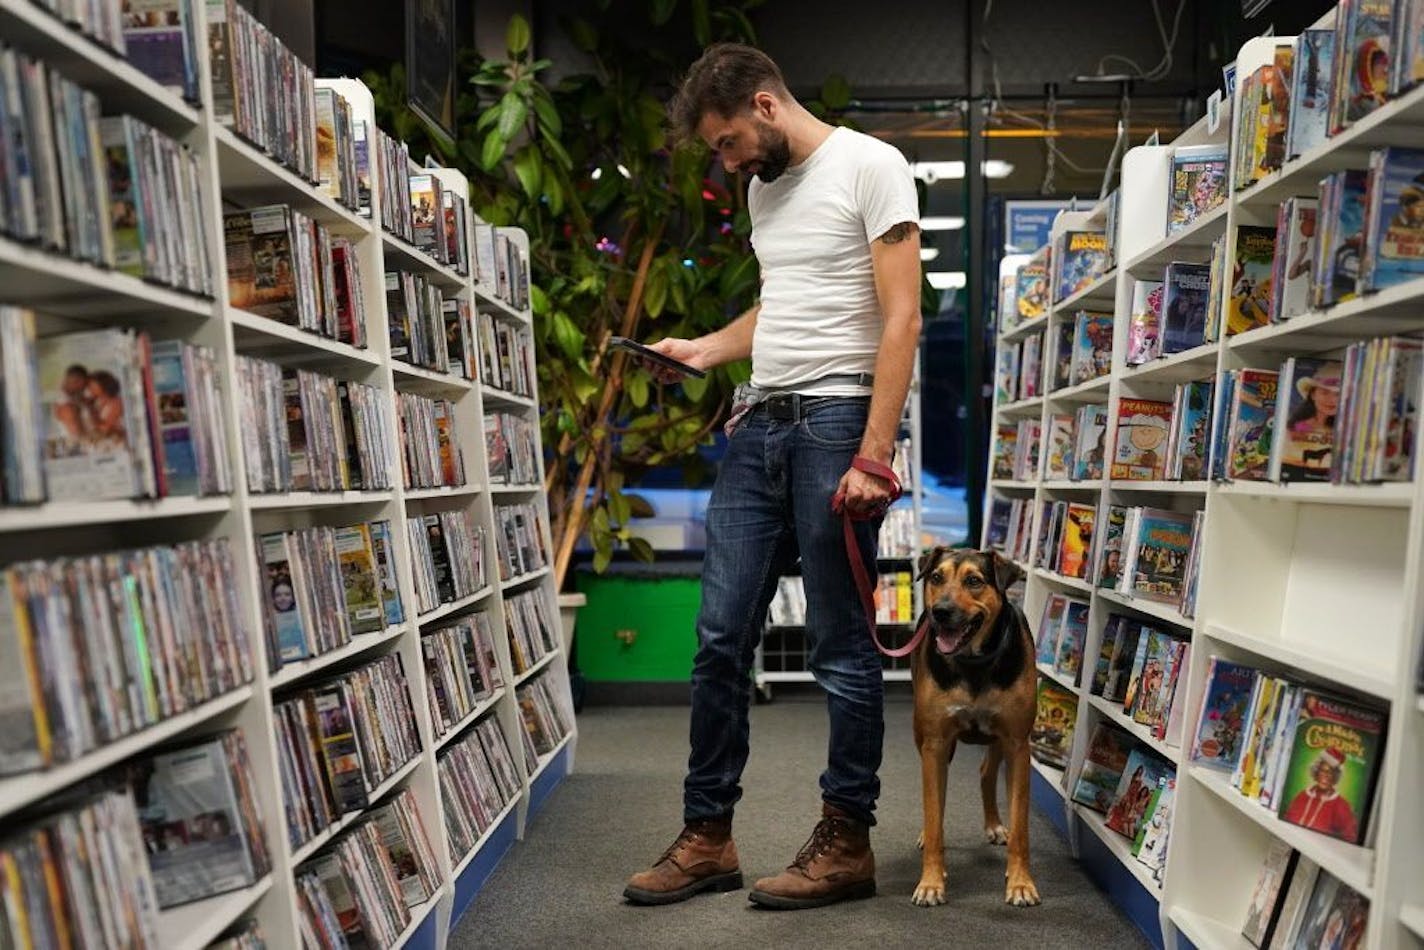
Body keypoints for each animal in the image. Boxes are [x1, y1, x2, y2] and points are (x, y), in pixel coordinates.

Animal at [905, 546, 1042, 911]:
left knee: (986, 771)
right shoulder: (935, 743)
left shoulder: (1017, 743)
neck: (974, 663)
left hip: (997, 739)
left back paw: (995, 824)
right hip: (924, 737)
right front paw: (931, 883)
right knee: (935, 800)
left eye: (974, 581)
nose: (940, 612)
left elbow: (1022, 827)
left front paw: (1021, 883)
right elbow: (934, 812)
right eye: (936, 577)